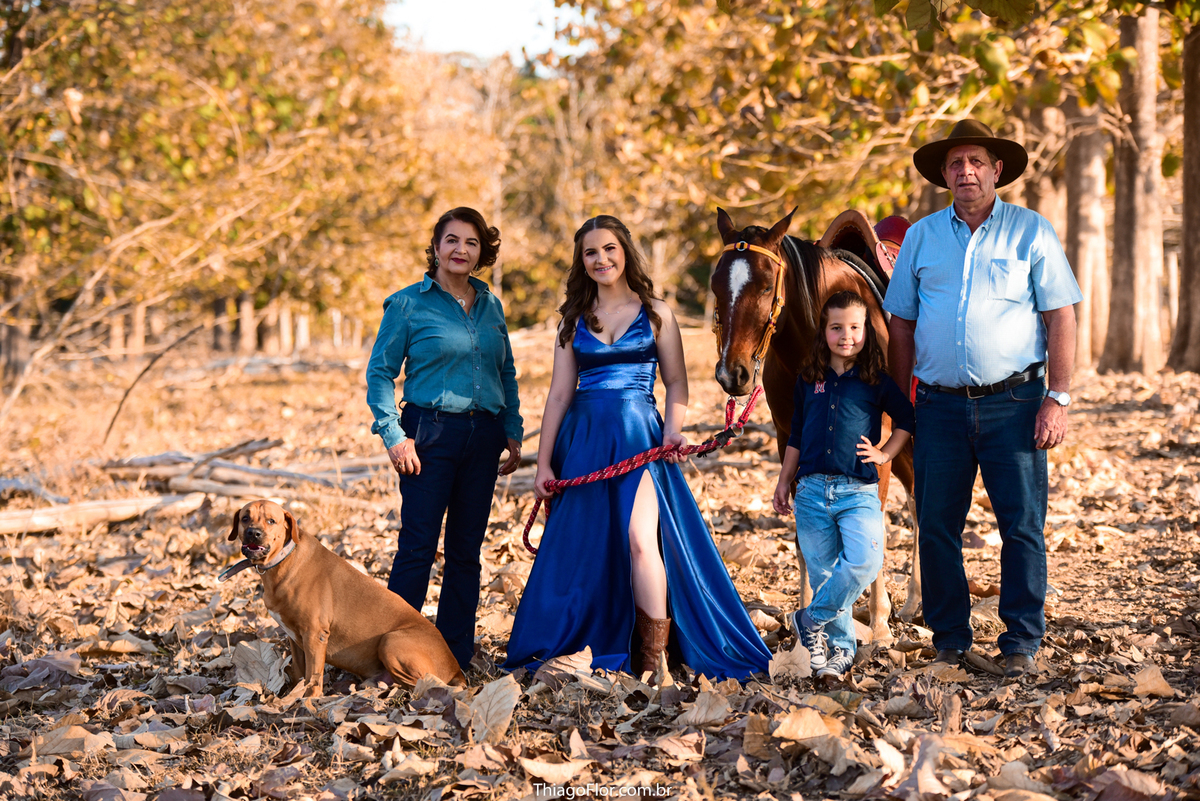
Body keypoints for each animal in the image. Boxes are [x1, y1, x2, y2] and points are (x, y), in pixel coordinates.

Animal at [226, 500, 466, 695]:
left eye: (271, 520)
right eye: (245, 518)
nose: (253, 533)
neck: (283, 560)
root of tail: (456, 668)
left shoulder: (315, 635)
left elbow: (313, 676)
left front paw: (309, 701)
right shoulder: (295, 637)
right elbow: (300, 672)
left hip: (391, 641)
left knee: (423, 684)